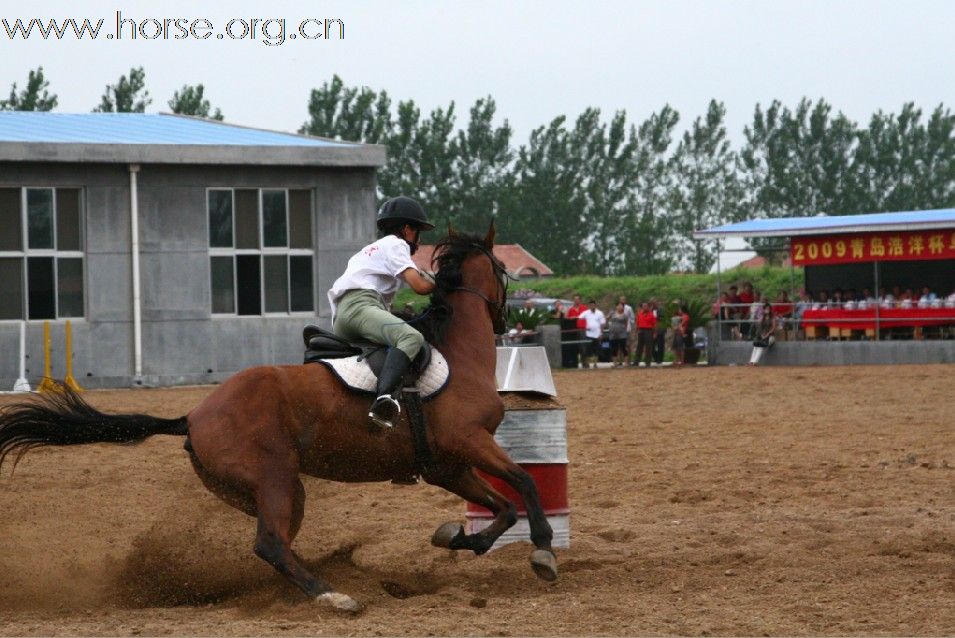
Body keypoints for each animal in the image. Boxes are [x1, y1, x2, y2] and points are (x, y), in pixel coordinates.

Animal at [0, 221, 556, 616]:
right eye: (505, 273)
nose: (509, 320)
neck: (457, 355)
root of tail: (193, 414)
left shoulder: (447, 464)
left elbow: (504, 508)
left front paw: (461, 538)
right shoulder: (472, 444)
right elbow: (525, 484)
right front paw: (543, 554)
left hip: (272, 490)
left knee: (277, 545)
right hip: (274, 478)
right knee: (270, 544)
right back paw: (334, 596)